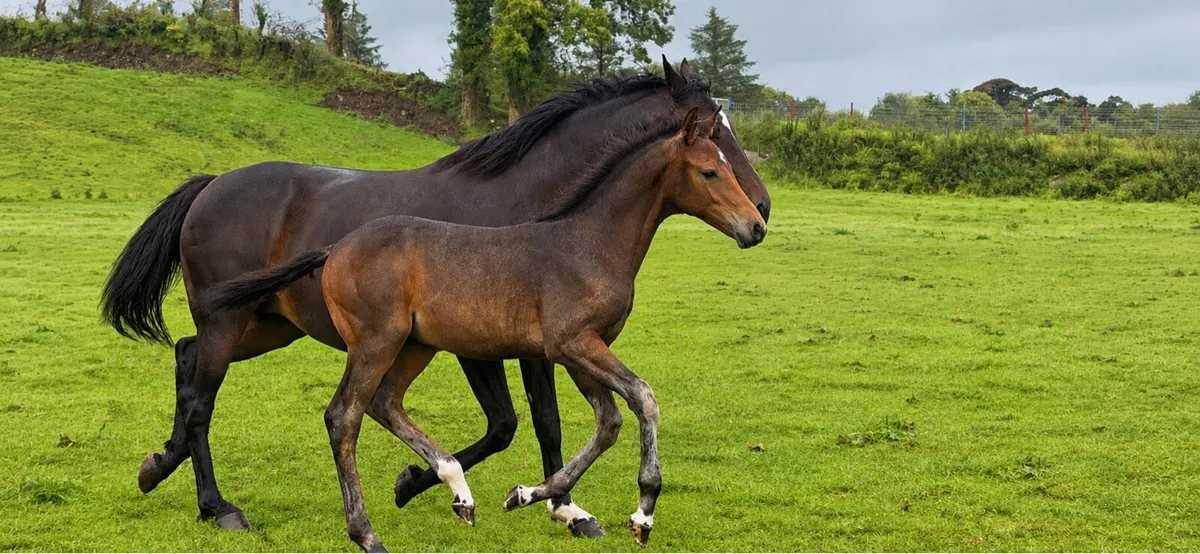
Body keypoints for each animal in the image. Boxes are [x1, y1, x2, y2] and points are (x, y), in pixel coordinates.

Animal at [100, 57, 771, 537]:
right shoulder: (501, 345)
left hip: (266, 325)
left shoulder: (535, 344)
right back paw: (220, 506)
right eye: (717, 136)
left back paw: (158, 466)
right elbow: (520, 423)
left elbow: (549, 422)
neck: (546, 208)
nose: (761, 213)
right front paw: (548, 504)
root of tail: (211, 184)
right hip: (247, 323)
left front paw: (551, 503)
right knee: (207, 400)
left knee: (187, 360)